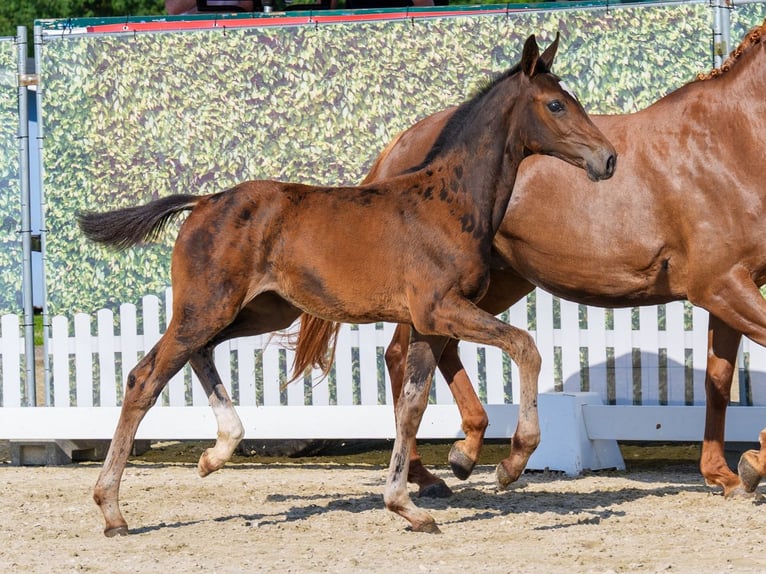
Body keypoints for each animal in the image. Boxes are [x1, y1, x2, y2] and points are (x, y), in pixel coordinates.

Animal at [77, 34, 616, 536]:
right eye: (555, 104)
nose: (607, 158)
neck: (449, 201)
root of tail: (204, 202)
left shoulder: (427, 323)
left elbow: (412, 404)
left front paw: (406, 505)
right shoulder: (440, 308)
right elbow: (525, 346)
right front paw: (510, 463)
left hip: (258, 311)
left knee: (196, 353)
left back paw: (217, 453)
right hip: (206, 307)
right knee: (144, 378)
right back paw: (112, 508)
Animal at [296, 19, 766, 499]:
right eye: (556, 104)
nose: (607, 159)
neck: (729, 141)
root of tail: (400, 146)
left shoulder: (732, 287)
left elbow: (718, 380)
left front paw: (724, 473)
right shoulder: (720, 285)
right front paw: (751, 464)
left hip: (493, 284)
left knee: (432, 351)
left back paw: (461, 456)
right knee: (399, 356)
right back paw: (437, 470)